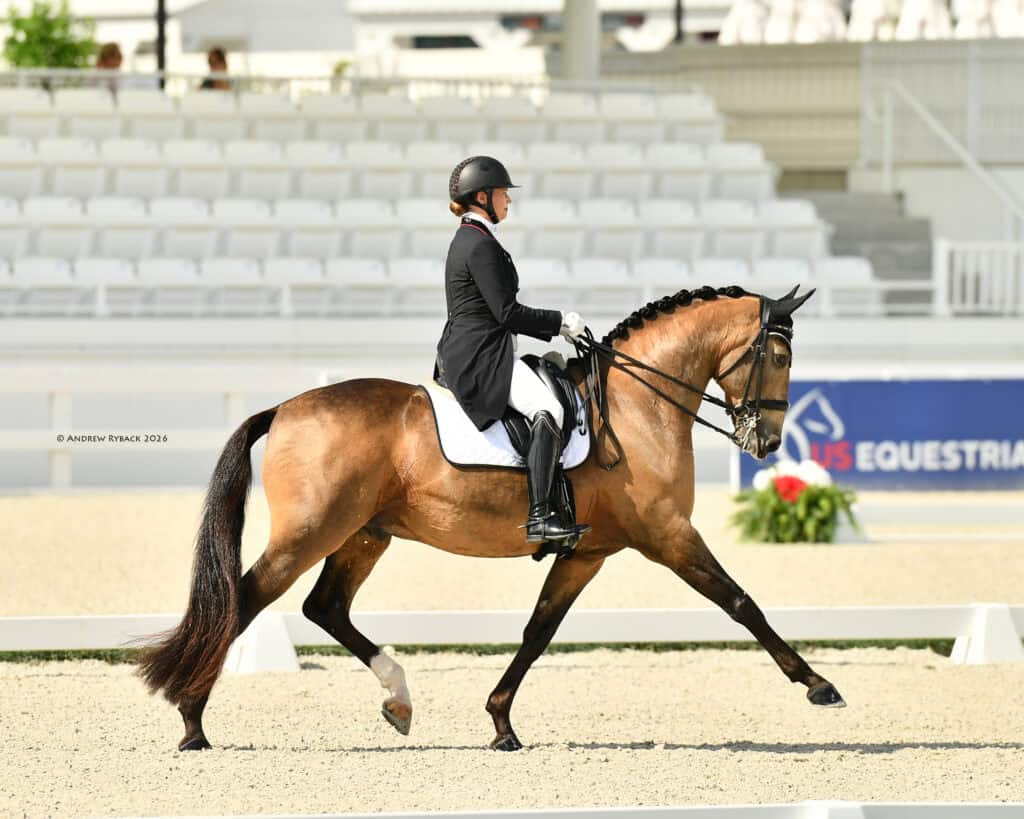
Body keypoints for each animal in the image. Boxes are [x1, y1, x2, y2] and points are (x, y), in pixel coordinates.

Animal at [138, 284, 845, 753]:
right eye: (778, 358)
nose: (767, 442)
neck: (636, 406)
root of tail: (283, 408)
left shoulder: (588, 551)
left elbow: (538, 631)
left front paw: (501, 722)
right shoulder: (669, 535)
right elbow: (741, 602)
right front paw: (818, 686)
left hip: (364, 534)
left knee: (326, 607)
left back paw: (398, 699)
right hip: (311, 532)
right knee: (246, 599)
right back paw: (193, 721)